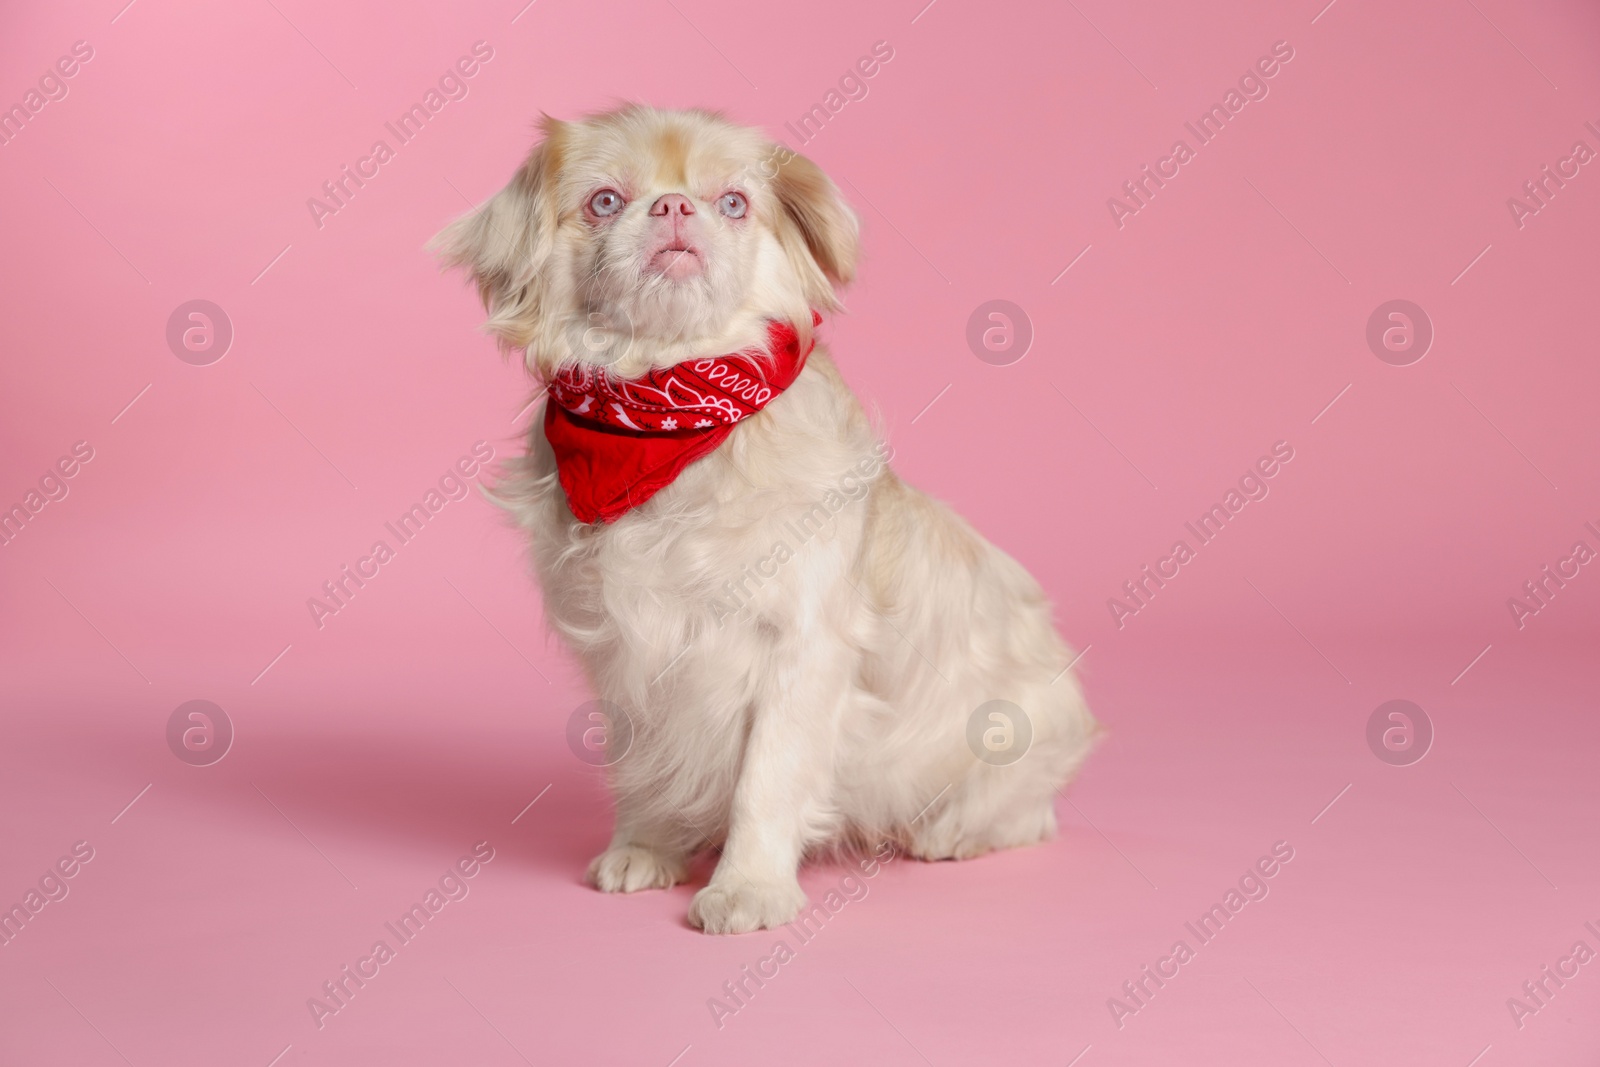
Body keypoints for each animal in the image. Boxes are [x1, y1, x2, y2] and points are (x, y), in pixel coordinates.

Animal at [432, 103, 1094, 927]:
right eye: (605, 202)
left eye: (734, 204)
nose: (674, 207)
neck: (665, 411)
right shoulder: (629, 651)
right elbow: (645, 764)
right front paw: (646, 846)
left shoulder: (800, 650)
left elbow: (766, 782)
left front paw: (747, 887)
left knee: (1027, 813)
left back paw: (953, 832)